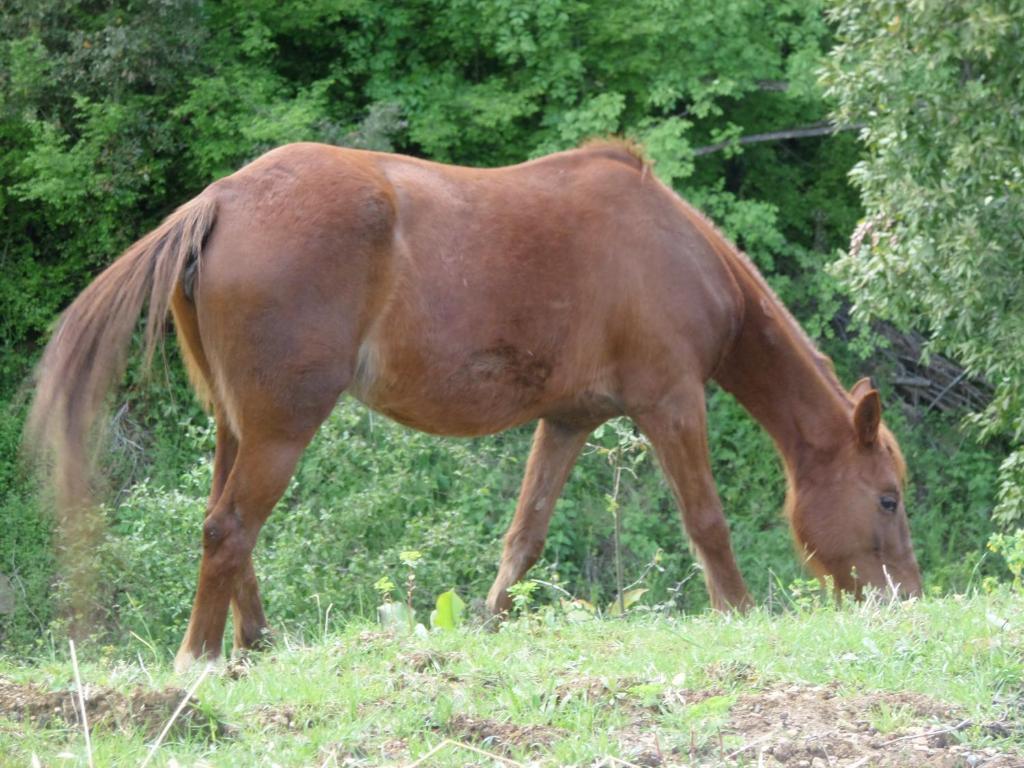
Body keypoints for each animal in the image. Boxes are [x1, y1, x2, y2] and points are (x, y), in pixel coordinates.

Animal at [25, 141, 921, 671]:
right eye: (887, 499)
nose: (909, 599)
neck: (668, 248)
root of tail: (218, 201)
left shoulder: (568, 420)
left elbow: (523, 536)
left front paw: (490, 625)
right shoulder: (671, 403)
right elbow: (707, 521)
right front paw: (737, 615)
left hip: (236, 426)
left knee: (226, 530)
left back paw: (255, 643)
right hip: (281, 428)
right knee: (228, 529)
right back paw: (201, 659)